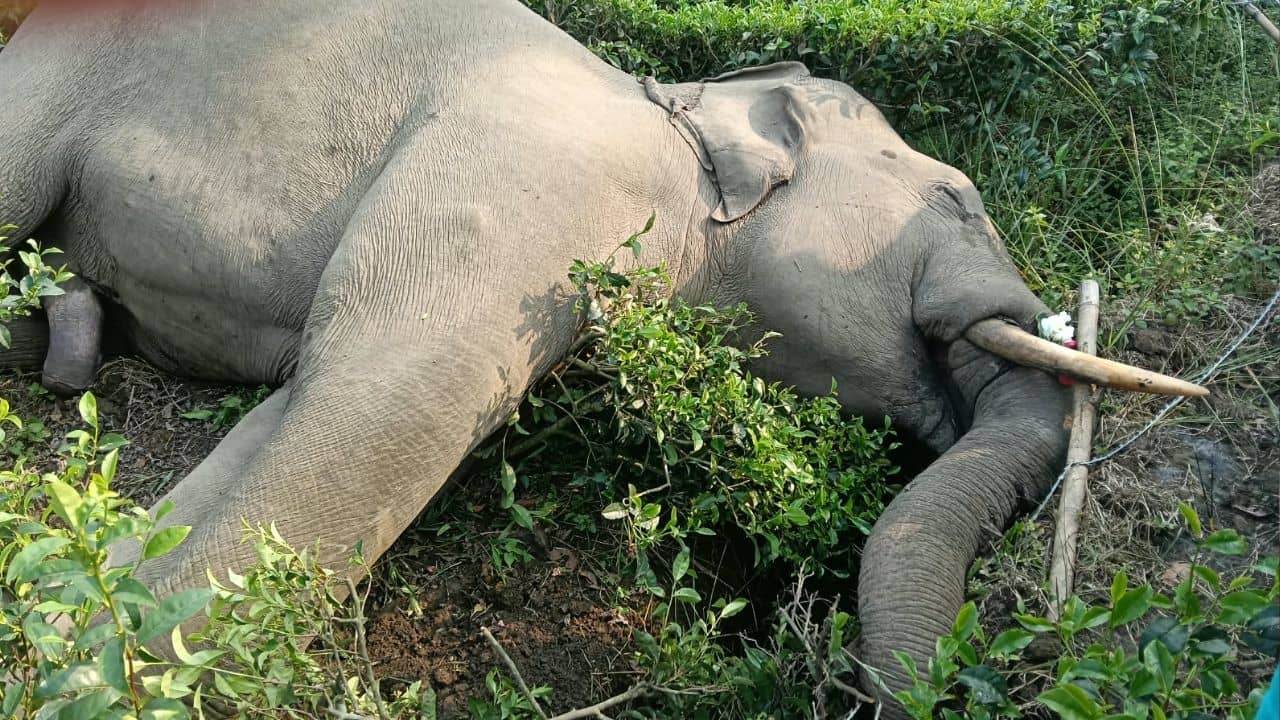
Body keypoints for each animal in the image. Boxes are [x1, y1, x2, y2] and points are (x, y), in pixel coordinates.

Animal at [0, 0, 1205, 713]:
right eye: (958, 197)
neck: (677, 114)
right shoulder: (530, 186)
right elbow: (394, 401)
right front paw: (92, 674)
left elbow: (303, 404)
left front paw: (78, 620)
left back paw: (66, 344)